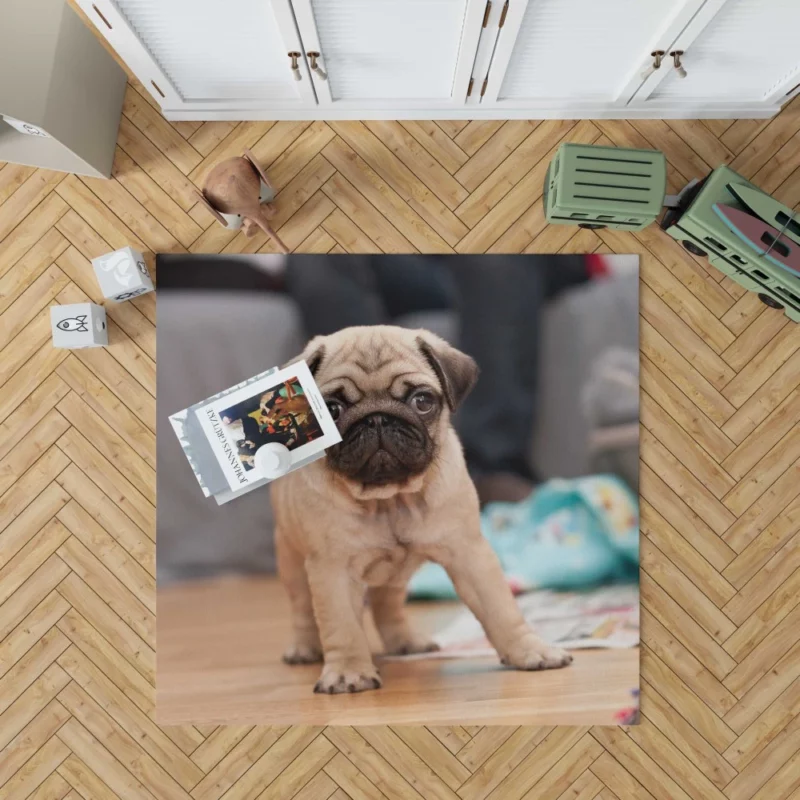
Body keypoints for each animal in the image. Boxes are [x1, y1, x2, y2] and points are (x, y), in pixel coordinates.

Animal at [272, 324, 572, 692]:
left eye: (422, 401)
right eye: (331, 409)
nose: (377, 419)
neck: (388, 498)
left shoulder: (469, 554)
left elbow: (501, 608)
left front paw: (530, 650)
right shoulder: (333, 569)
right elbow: (341, 625)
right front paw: (347, 671)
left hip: (396, 577)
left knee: (387, 606)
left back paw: (405, 642)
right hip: (292, 561)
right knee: (304, 609)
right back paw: (304, 648)